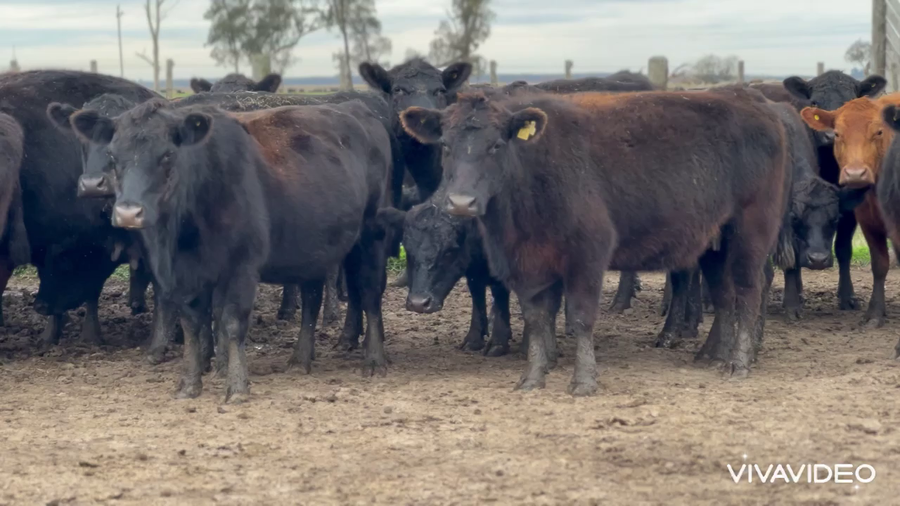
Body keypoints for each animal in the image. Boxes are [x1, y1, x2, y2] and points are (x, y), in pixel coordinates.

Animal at [70, 99, 394, 401]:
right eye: (113, 156)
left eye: (168, 154)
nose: (128, 213)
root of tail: (356, 109)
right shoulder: (183, 274)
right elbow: (192, 325)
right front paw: (189, 384)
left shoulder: (242, 267)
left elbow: (232, 322)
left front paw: (237, 386)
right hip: (313, 247)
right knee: (312, 299)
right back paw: (300, 358)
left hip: (371, 235)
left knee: (369, 294)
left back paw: (374, 360)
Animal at [375, 194, 513, 356]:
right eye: (408, 251)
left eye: (449, 251)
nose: (418, 303)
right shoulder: (473, 269)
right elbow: (477, 295)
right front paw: (473, 339)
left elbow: (500, 294)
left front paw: (498, 342)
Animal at [399, 90, 788, 394]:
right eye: (445, 146)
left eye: (496, 145)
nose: (461, 202)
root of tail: (750, 98)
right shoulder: (527, 264)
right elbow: (537, 318)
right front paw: (533, 377)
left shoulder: (588, 254)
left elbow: (581, 316)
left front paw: (584, 380)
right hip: (714, 239)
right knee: (723, 295)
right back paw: (713, 354)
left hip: (751, 230)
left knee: (749, 289)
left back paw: (739, 361)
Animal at [782, 71, 887, 311]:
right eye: (814, 102)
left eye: (850, 102)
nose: (830, 135)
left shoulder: (849, 208)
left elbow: (843, 248)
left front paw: (847, 296)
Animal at [800, 94, 900, 327]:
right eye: (837, 133)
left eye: (878, 132)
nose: (855, 174)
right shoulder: (868, 221)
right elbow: (879, 264)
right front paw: (875, 313)